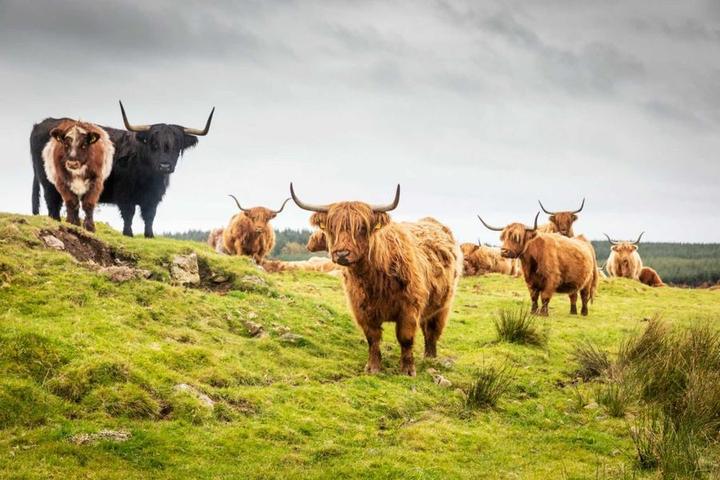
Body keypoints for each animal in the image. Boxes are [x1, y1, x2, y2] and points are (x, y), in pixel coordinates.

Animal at [31, 101, 214, 238]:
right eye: (154, 144)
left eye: (177, 146)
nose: (165, 165)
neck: (149, 177)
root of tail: (43, 123)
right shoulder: (125, 194)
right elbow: (129, 214)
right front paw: (128, 234)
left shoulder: (153, 197)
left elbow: (149, 216)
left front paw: (149, 235)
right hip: (49, 181)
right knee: (53, 201)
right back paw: (57, 222)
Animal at [291, 184, 462, 376]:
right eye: (331, 227)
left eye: (361, 228)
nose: (342, 254)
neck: (373, 278)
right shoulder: (362, 309)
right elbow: (372, 339)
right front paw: (373, 367)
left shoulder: (410, 307)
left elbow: (406, 338)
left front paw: (408, 370)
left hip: (443, 305)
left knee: (432, 331)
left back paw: (430, 358)